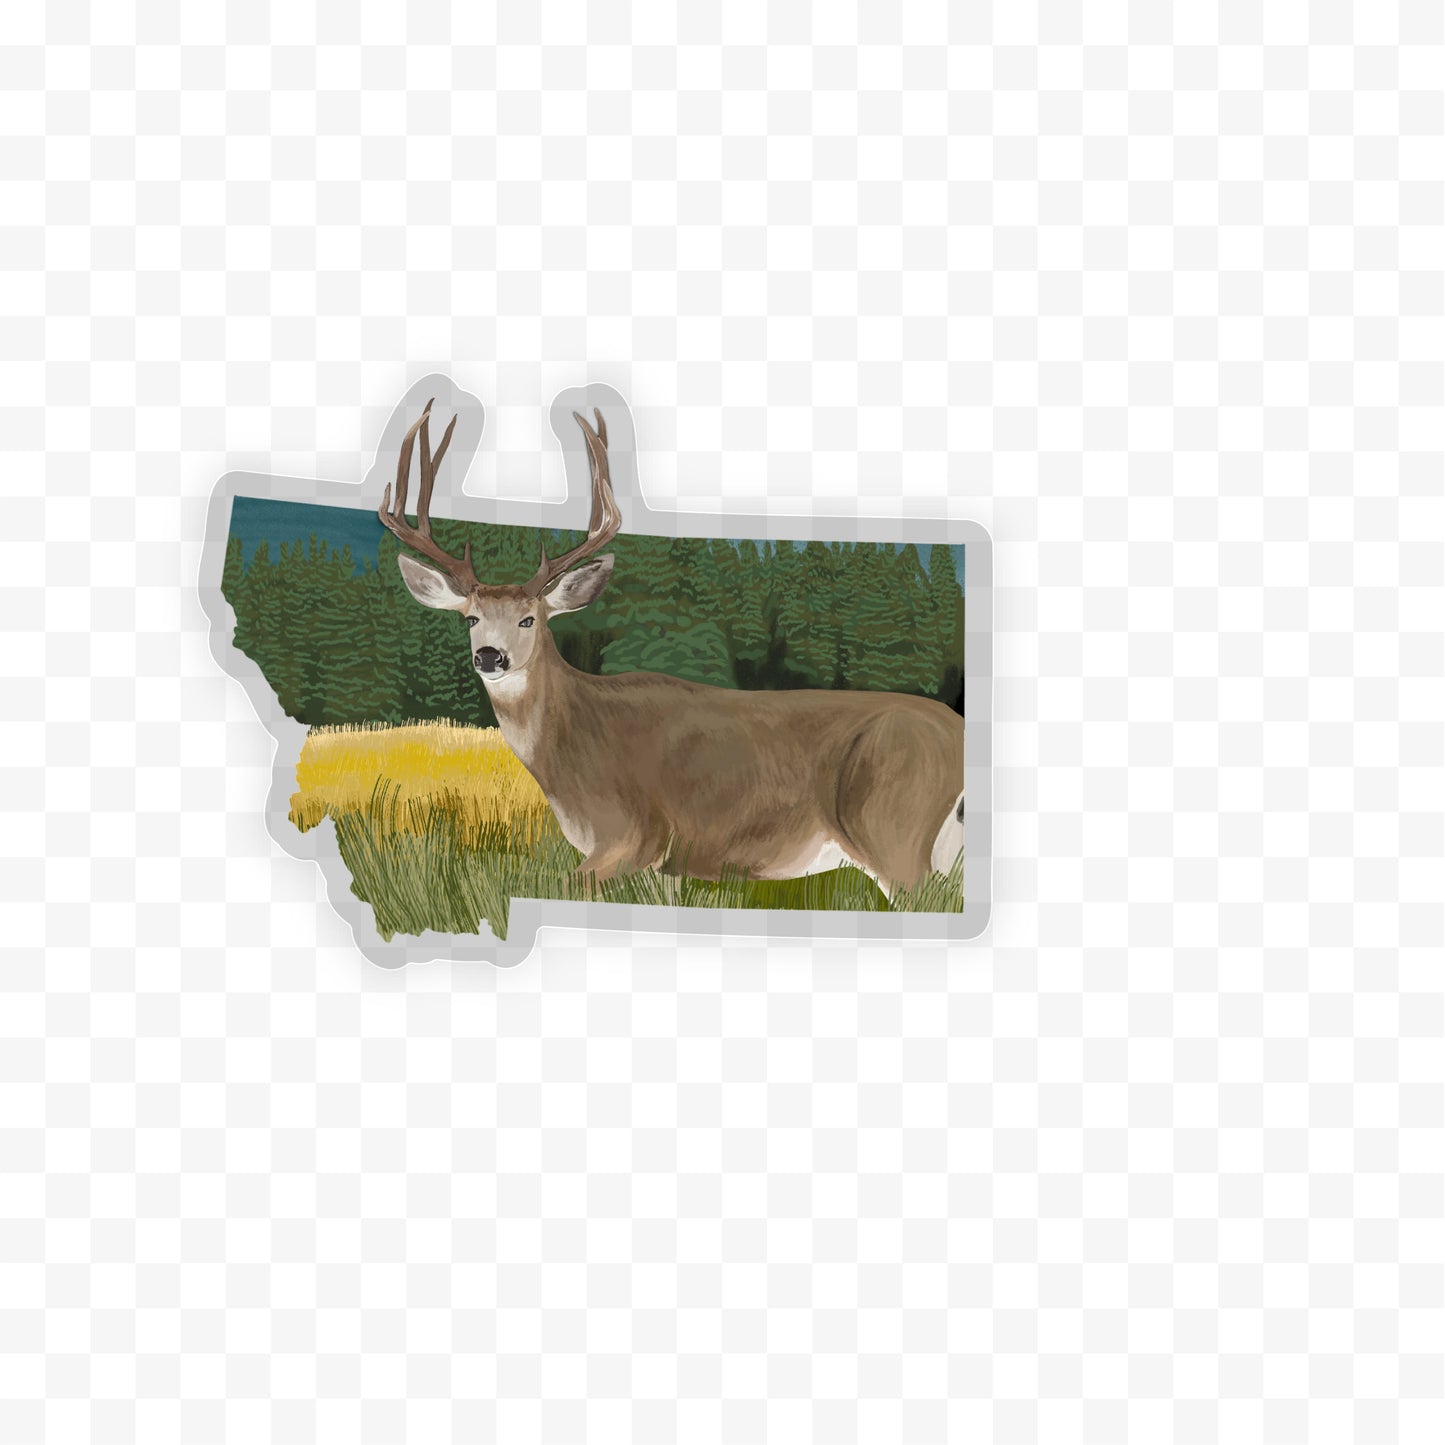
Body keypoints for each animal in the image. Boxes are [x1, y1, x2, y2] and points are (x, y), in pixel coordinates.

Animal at [376, 400, 965, 896]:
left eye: (529, 618)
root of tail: (959, 732)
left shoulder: (638, 832)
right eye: (472, 618)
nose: (490, 656)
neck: (573, 744)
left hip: (893, 826)